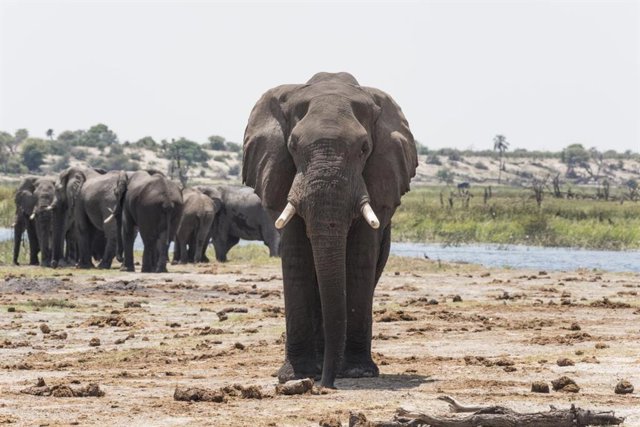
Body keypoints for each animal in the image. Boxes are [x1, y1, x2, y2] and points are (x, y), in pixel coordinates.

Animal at [242, 72, 417, 388]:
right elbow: (296, 256)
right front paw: (295, 375)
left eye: (364, 149)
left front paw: (358, 372)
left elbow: (359, 259)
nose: (325, 385)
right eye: (293, 146)